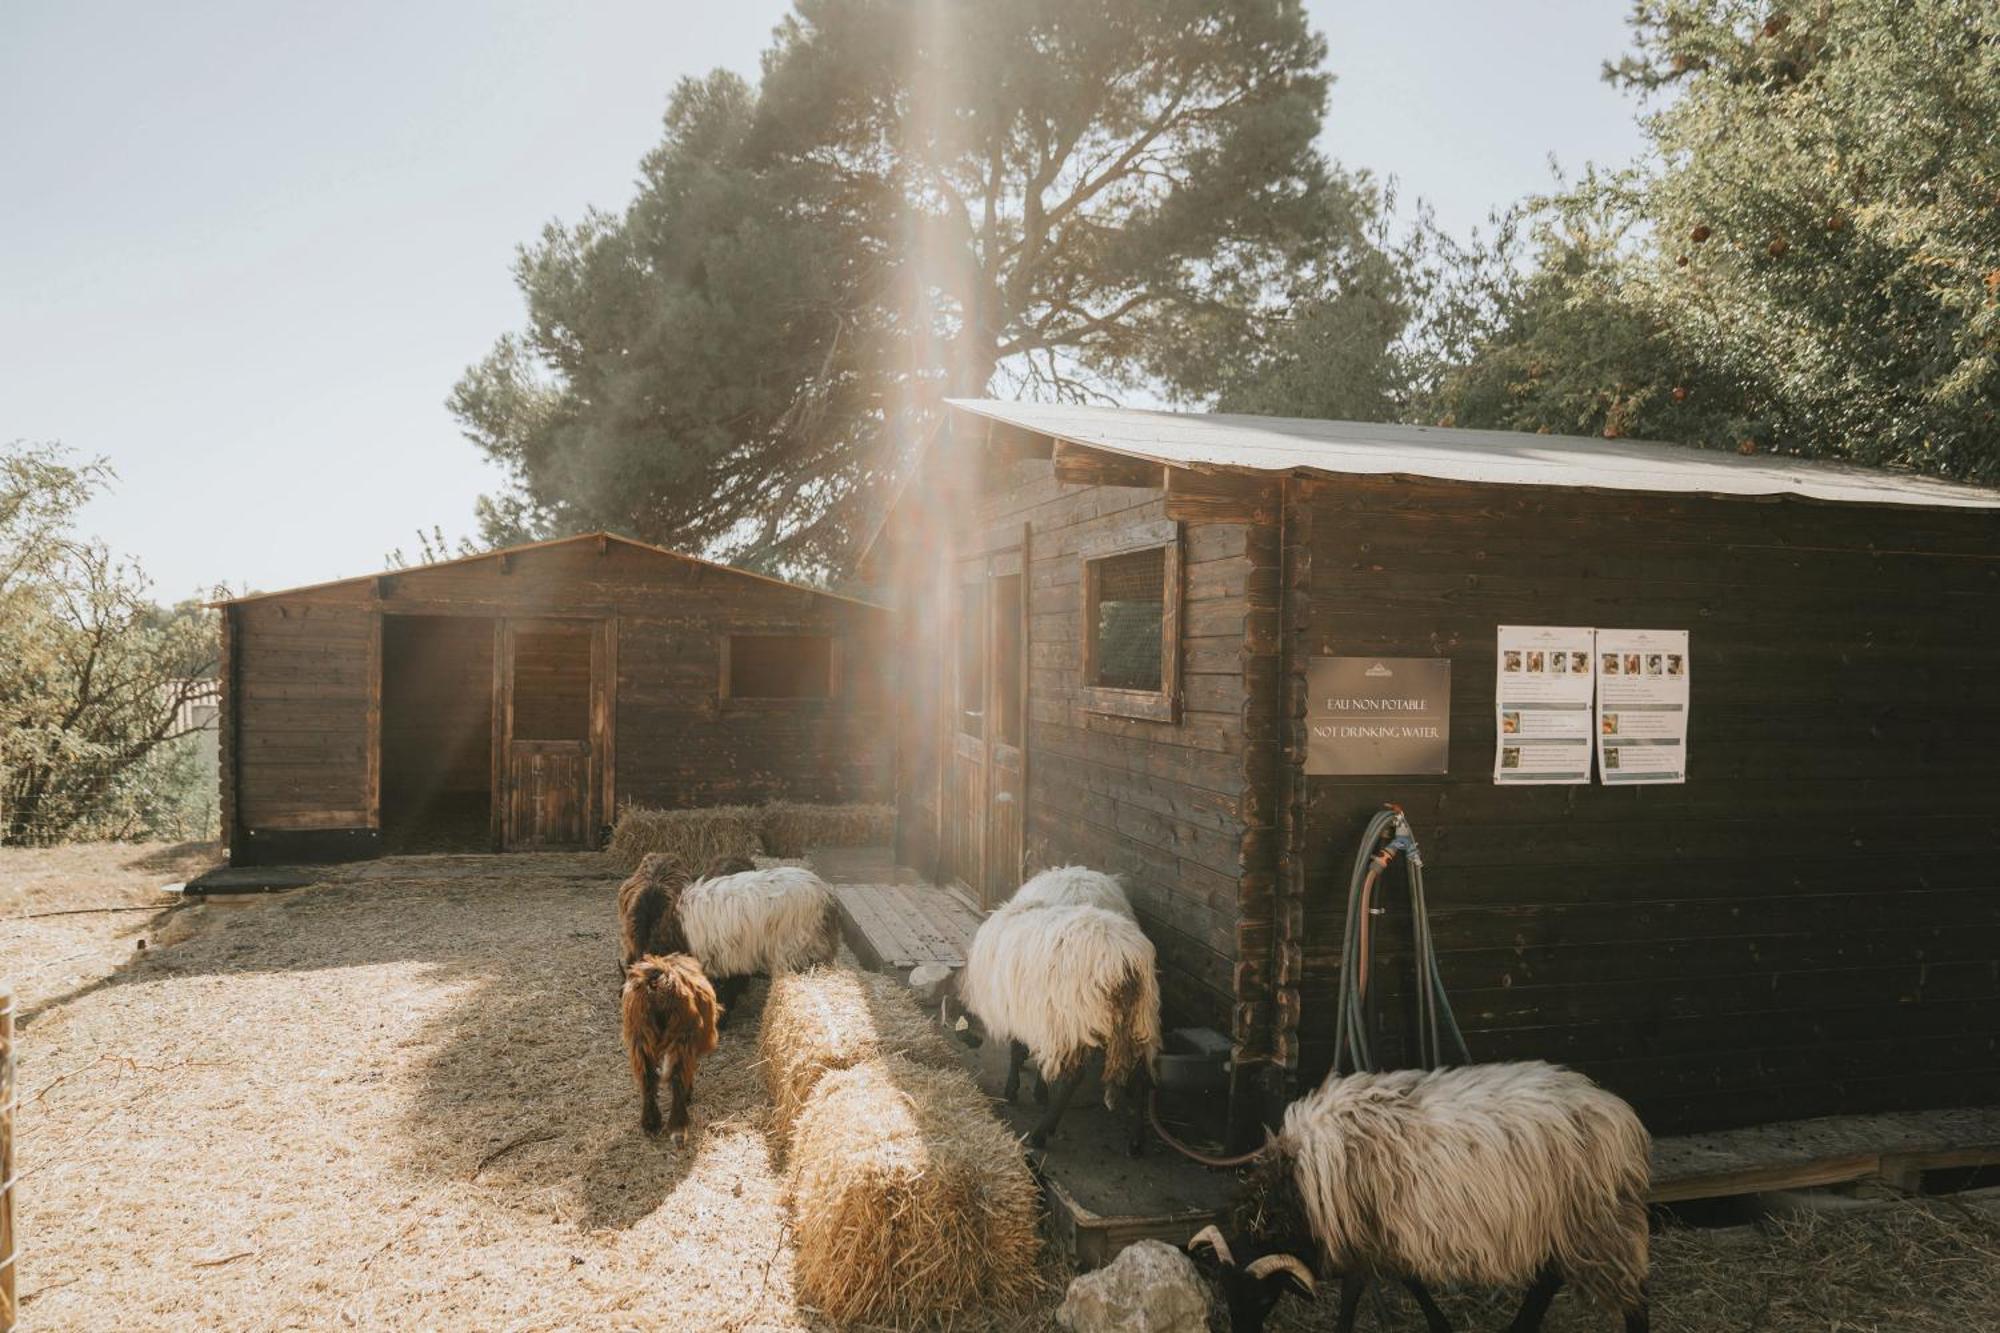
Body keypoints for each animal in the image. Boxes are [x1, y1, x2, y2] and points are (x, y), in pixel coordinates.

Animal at [624, 948, 728, 1136]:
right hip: (681, 1038)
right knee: (677, 1076)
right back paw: (679, 1122)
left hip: (640, 1038)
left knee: (647, 1077)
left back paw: (651, 1123)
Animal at [944, 896, 1168, 1144]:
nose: (970, 1041)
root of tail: (1125, 963)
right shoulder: (1037, 1017)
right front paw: (1038, 1090)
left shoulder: (1024, 1012)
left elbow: (1016, 1050)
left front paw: (1014, 1090)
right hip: (1140, 1019)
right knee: (1142, 1076)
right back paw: (1137, 1140)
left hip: (1075, 1020)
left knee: (1073, 1078)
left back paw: (1041, 1132)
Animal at [1184, 1056, 1640, 1328]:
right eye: (1225, 1294)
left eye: (1263, 1299)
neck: (1298, 1184)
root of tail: (1617, 1112)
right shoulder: (1384, 1234)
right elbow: (1404, 1283)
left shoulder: (1379, 1233)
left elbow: (1371, 1289)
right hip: (1561, 1223)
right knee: (1549, 1279)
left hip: (1597, 1221)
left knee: (1630, 1298)